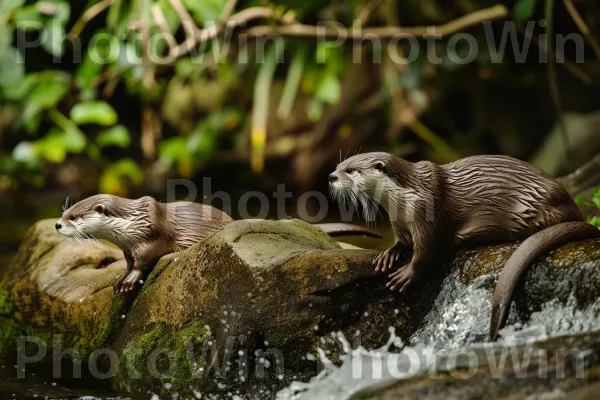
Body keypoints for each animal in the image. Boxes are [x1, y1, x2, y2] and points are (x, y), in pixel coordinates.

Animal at [328, 152, 600, 340]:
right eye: (339, 165)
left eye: (351, 170)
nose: (331, 176)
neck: (403, 199)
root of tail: (574, 209)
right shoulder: (398, 221)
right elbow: (401, 242)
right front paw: (388, 254)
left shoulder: (427, 213)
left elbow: (428, 251)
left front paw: (406, 274)